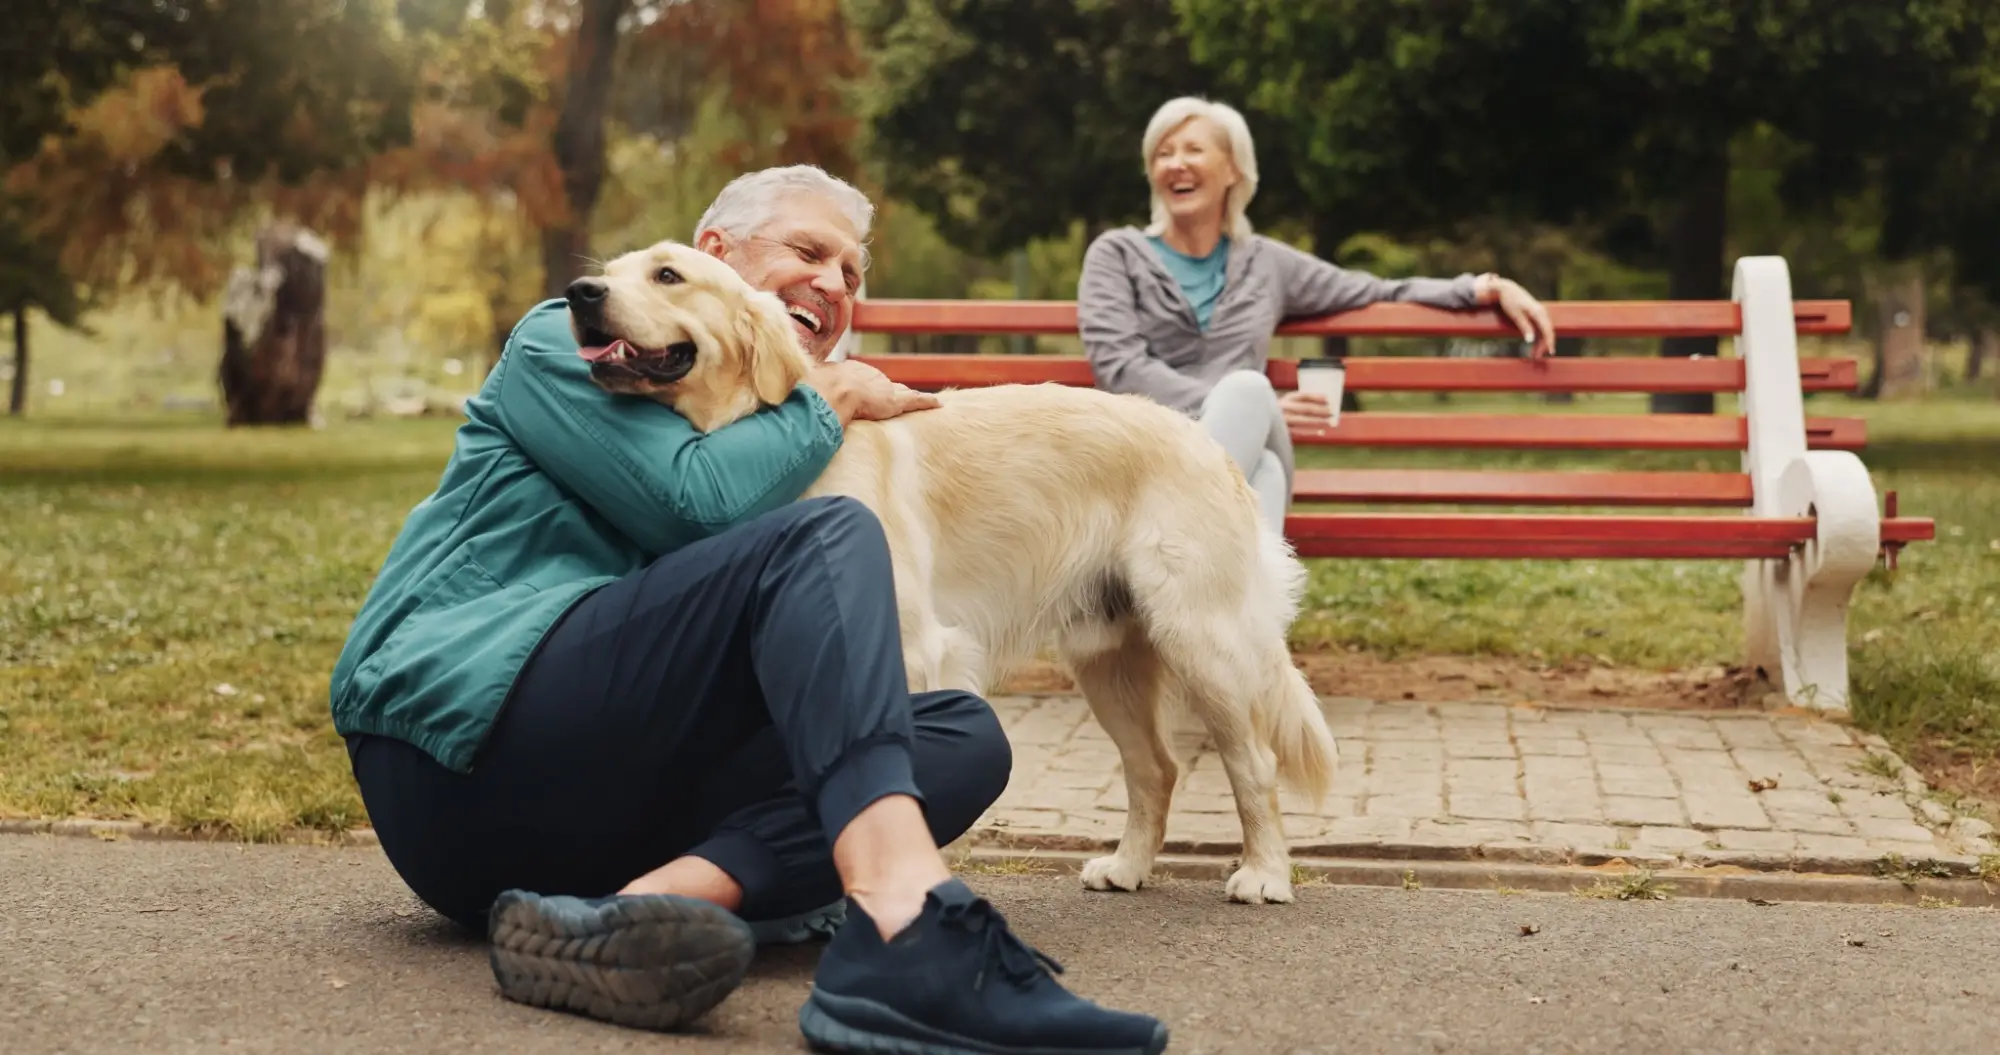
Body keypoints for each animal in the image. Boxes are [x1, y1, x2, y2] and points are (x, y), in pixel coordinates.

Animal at [564, 240, 1344, 907]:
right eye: (613, 270)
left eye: (668, 275)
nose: (578, 292)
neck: (753, 442)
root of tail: (1209, 443)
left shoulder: (911, 651)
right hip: (1107, 656)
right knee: (1156, 767)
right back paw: (1127, 867)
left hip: (1200, 637)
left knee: (1253, 762)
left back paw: (1265, 874)